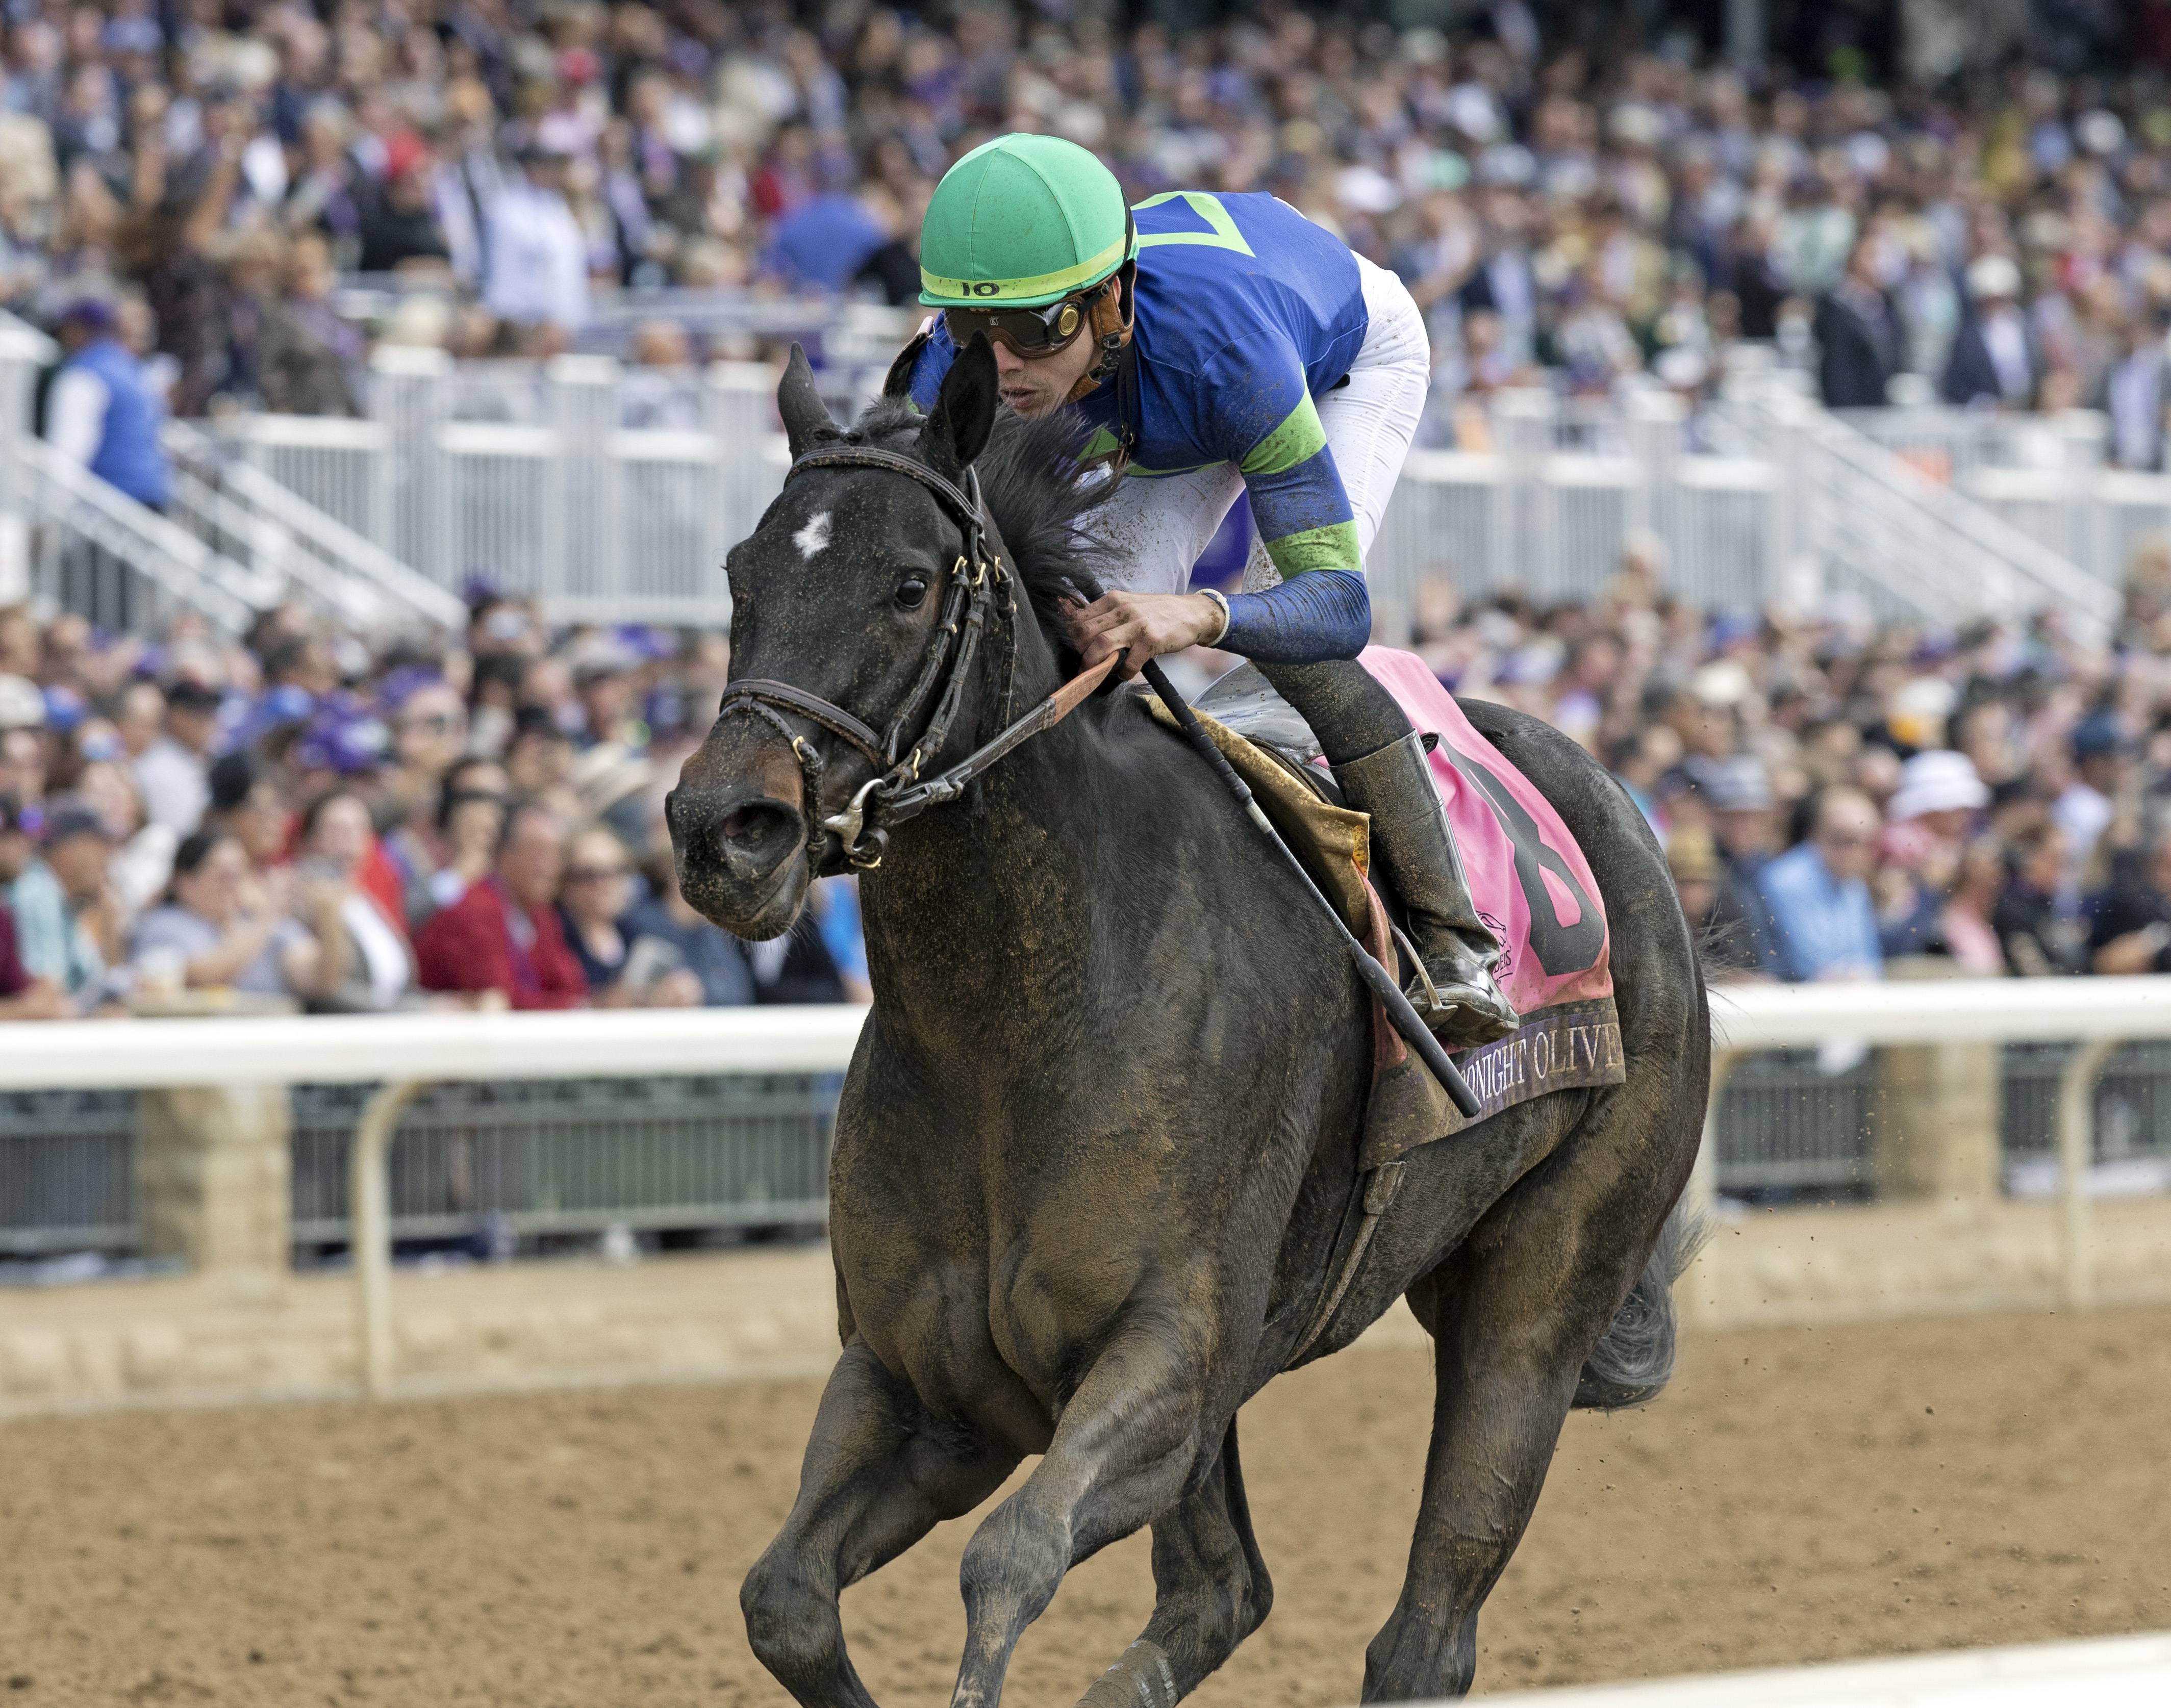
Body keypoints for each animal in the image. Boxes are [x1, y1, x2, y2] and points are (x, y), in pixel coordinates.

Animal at [667, 336, 1708, 1707]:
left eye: (906, 584)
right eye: (740, 573)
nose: (725, 829)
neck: (1011, 1028)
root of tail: (1620, 811)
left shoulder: (1172, 1353)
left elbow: (1009, 1559)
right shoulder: (925, 1387)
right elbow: (783, 1597)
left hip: (1541, 1287)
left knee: (1425, 1626)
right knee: (1223, 1593)